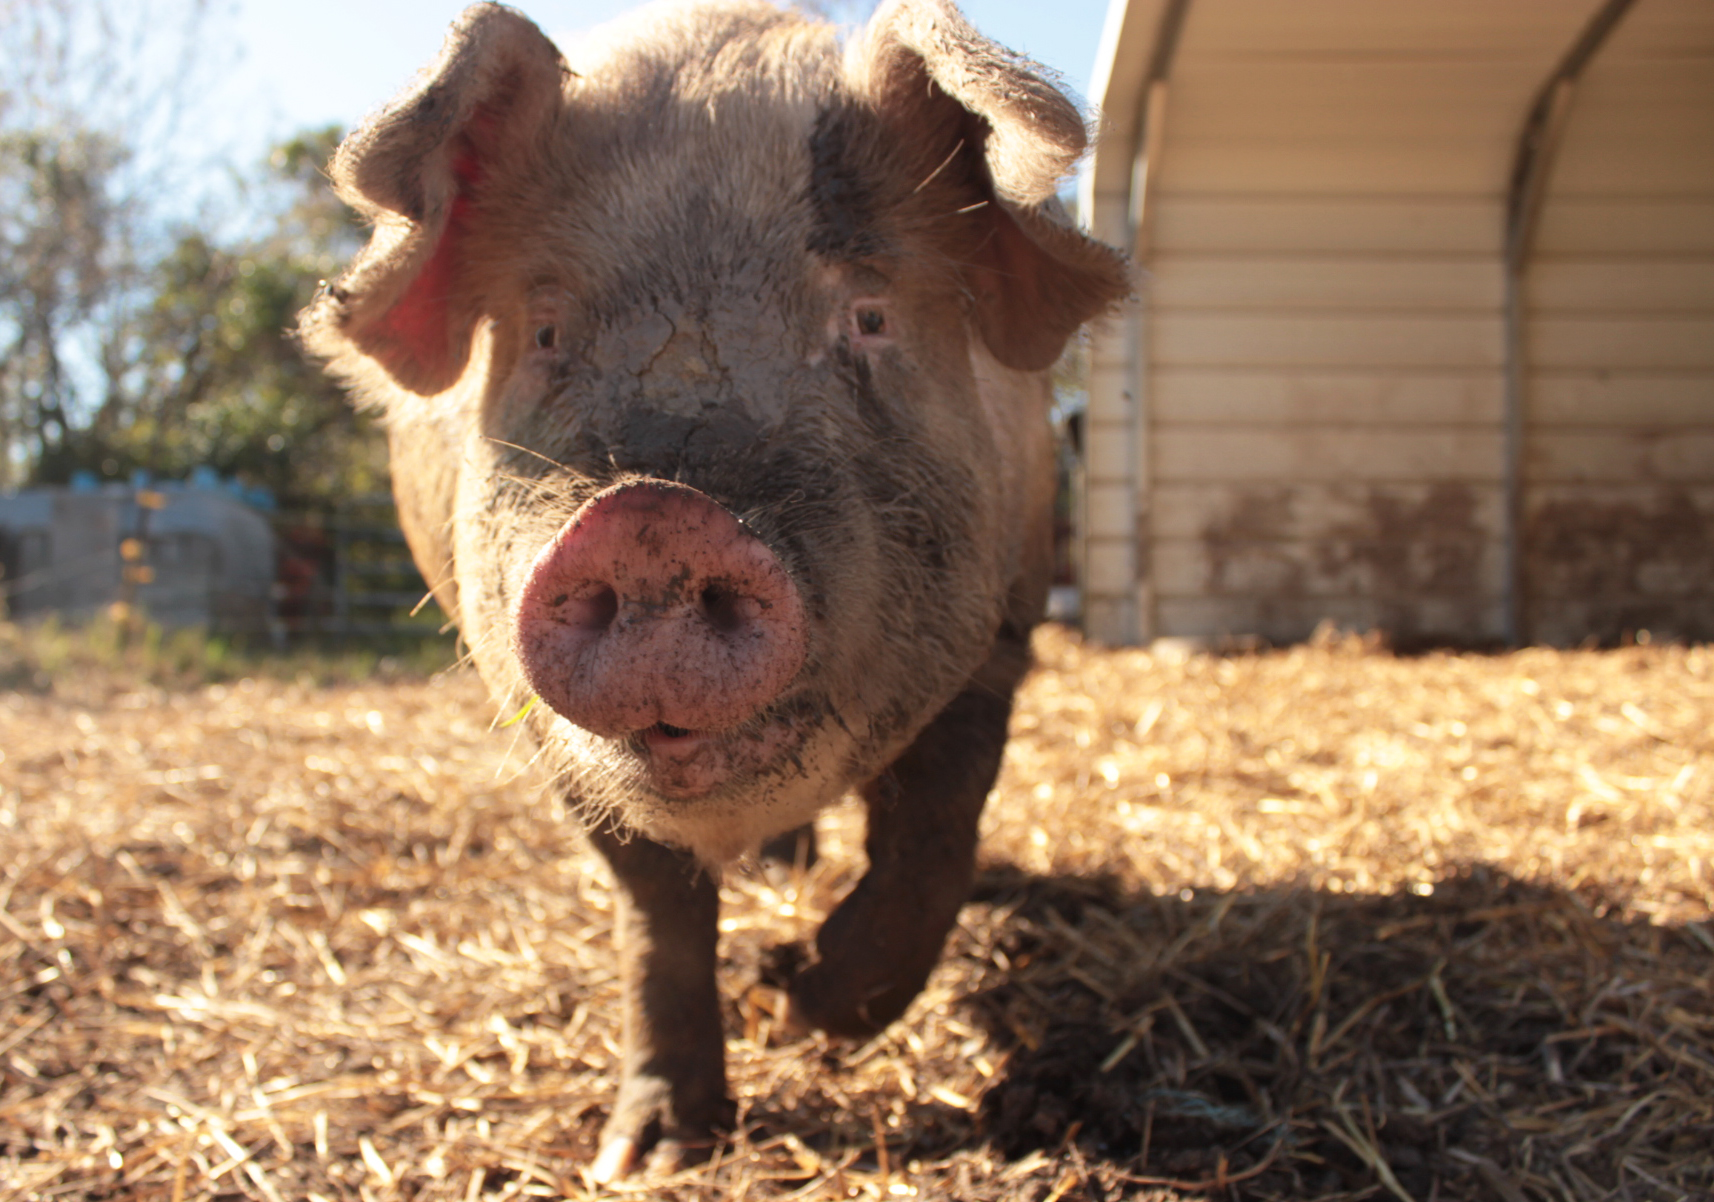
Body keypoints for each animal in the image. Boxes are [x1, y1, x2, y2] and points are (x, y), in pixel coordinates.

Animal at [301, 0, 1131, 1179]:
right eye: (546, 332)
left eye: (869, 318)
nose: (652, 516)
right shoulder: (537, 719)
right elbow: (655, 908)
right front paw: (648, 1156)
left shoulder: (1002, 634)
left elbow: (932, 843)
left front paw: (797, 1000)